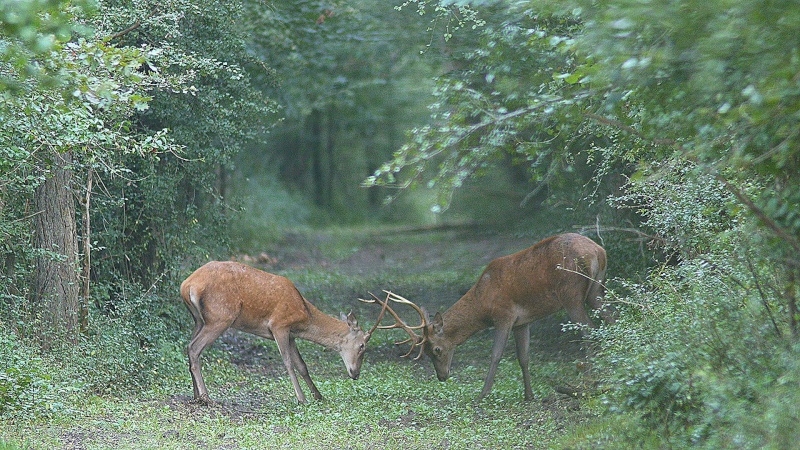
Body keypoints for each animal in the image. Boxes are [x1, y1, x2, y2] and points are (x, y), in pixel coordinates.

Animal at [179, 260, 390, 404]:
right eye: (362, 345)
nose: (356, 373)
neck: (304, 316)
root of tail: (187, 285)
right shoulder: (279, 325)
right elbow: (288, 362)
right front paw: (301, 398)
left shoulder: (291, 334)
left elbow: (302, 365)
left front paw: (318, 395)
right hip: (220, 316)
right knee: (195, 348)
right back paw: (205, 396)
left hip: (199, 319)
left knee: (189, 346)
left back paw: (196, 394)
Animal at [366, 234, 616, 400]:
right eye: (426, 352)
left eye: (436, 349)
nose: (442, 376)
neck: (483, 304)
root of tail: (598, 251)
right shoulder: (523, 322)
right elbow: (524, 357)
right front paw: (529, 395)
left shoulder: (504, 314)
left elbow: (496, 355)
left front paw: (482, 394)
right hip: (596, 291)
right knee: (612, 320)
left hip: (571, 293)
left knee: (589, 330)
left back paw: (589, 379)